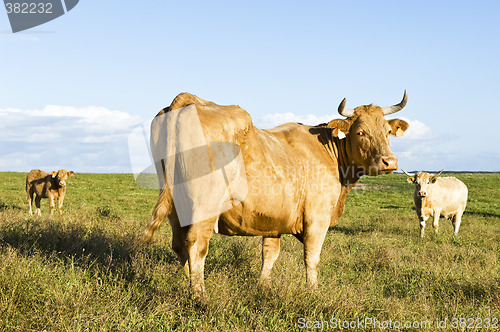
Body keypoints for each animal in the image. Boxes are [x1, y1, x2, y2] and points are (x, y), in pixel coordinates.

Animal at [139, 91, 408, 298]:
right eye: (360, 132)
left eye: (387, 131)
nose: (390, 162)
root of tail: (191, 99)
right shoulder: (317, 218)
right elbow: (312, 257)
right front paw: (313, 292)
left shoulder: (274, 220)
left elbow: (269, 254)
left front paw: (263, 286)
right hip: (204, 206)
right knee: (196, 245)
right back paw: (199, 295)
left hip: (176, 207)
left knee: (179, 245)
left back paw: (185, 284)